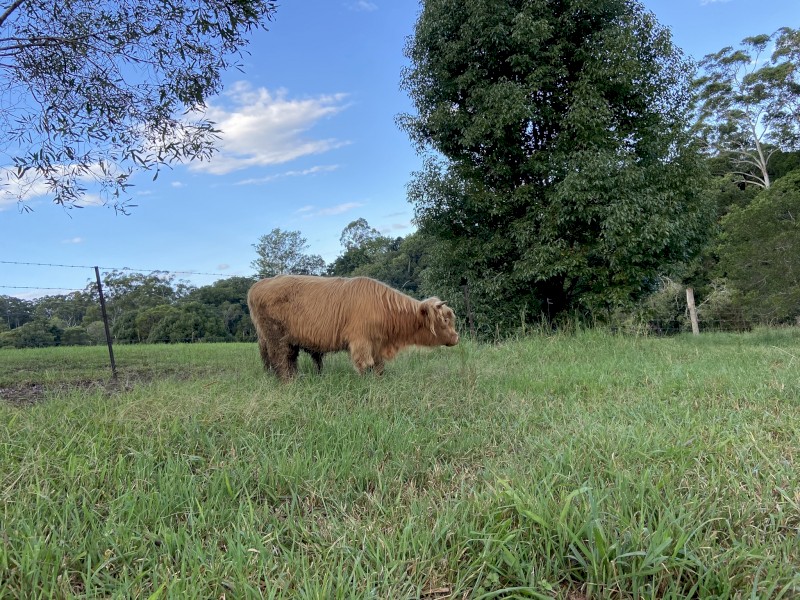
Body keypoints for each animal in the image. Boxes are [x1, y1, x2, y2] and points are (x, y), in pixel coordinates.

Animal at [247, 275, 459, 381]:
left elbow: (379, 367)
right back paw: (289, 382)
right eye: (445, 320)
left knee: (287, 361)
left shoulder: (376, 344)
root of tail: (258, 285)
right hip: (275, 337)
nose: (457, 337)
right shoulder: (361, 342)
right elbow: (365, 365)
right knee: (281, 360)